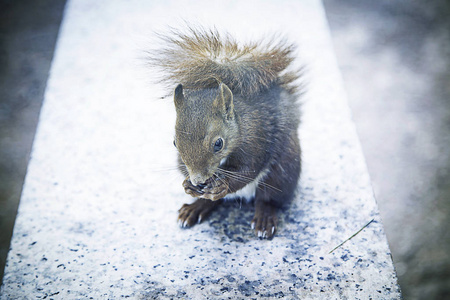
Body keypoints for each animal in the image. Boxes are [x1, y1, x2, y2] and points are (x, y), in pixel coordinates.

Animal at [149, 27, 300, 239]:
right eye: (174, 143)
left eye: (218, 143)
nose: (198, 180)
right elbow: (181, 166)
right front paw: (188, 185)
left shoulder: (257, 139)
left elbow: (248, 170)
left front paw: (223, 184)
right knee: (214, 201)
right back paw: (195, 207)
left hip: (284, 172)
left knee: (268, 199)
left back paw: (264, 218)